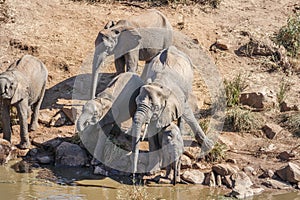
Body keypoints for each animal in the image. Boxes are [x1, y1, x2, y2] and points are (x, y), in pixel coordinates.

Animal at [131, 46, 213, 177]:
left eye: (156, 107)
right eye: (137, 102)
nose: (133, 175)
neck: (159, 85)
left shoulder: (178, 98)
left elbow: (187, 113)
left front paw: (208, 146)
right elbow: (153, 129)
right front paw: (152, 171)